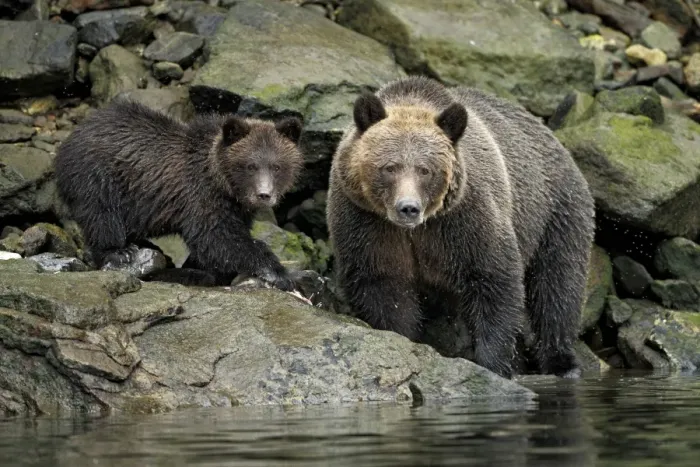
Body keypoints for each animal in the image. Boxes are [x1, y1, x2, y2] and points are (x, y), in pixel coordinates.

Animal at [54, 98, 304, 291]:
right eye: (250, 166)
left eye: (277, 166)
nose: (264, 195)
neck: (223, 183)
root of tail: (73, 134)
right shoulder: (200, 195)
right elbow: (218, 239)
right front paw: (280, 272)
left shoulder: (237, 207)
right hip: (97, 175)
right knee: (101, 214)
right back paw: (119, 251)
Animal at [326, 76, 595, 379]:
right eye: (389, 167)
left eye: (425, 169)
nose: (408, 208)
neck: (416, 230)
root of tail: (549, 134)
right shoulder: (367, 222)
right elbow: (382, 286)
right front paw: (400, 337)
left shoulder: (466, 220)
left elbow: (493, 280)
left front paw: (493, 363)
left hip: (557, 210)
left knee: (557, 284)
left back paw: (562, 362)